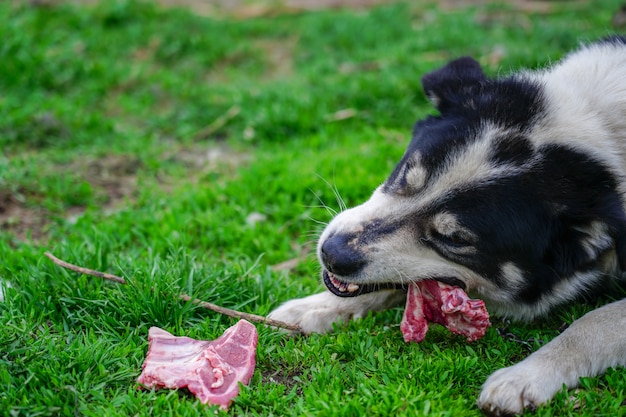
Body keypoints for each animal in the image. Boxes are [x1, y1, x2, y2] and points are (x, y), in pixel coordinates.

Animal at [266, 37, 624, 414]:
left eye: (453, 239)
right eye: (405, 175)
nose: (331, 254)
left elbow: (597, 321)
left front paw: (526, 375)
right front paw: (313, 307)